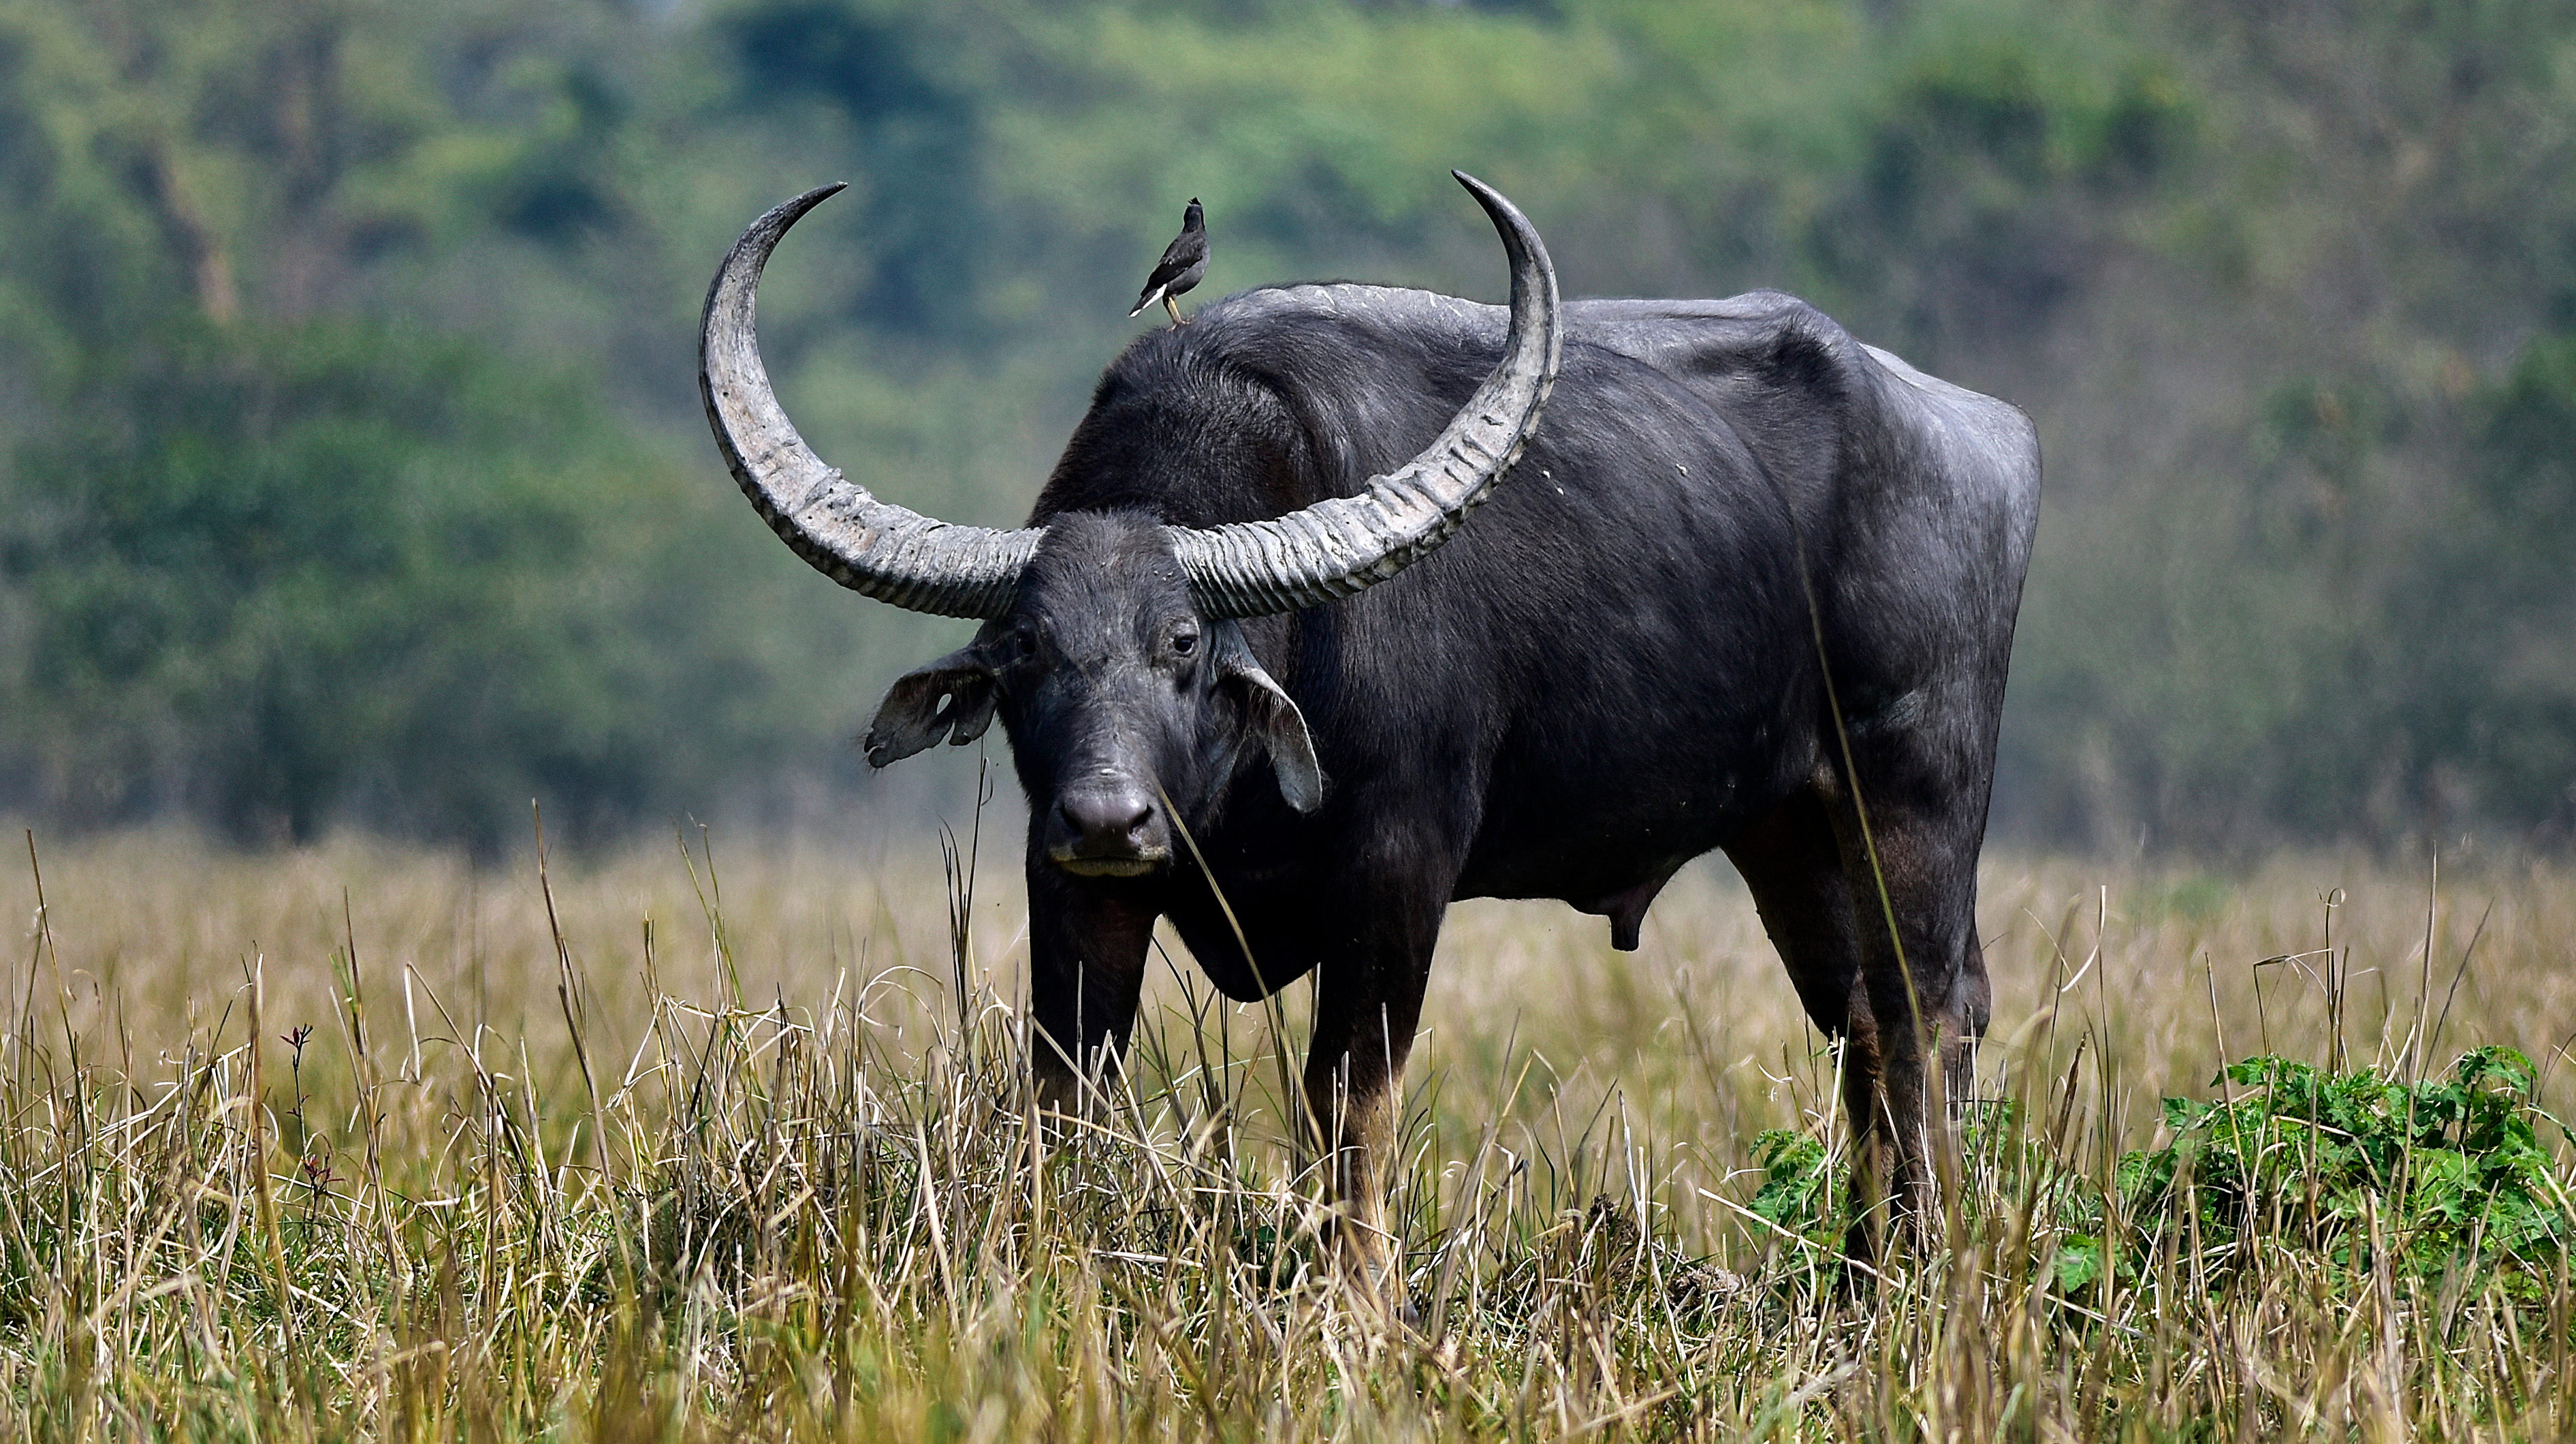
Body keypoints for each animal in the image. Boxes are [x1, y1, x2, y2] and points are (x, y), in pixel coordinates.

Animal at [699, 173, 2039, 1290]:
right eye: (1025, 650)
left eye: (1182, 643)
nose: (1109, 816)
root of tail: (1983, 433)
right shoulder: (1065, 883)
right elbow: (1064, 1090)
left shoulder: (1399, 868)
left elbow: (1348, 1099)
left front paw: (1354, 1303)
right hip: (1787, 834)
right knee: (1861, 1025)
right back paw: (1860, 1276)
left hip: (1913, 798)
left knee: (1926, 1017)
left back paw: (1922, 1278)